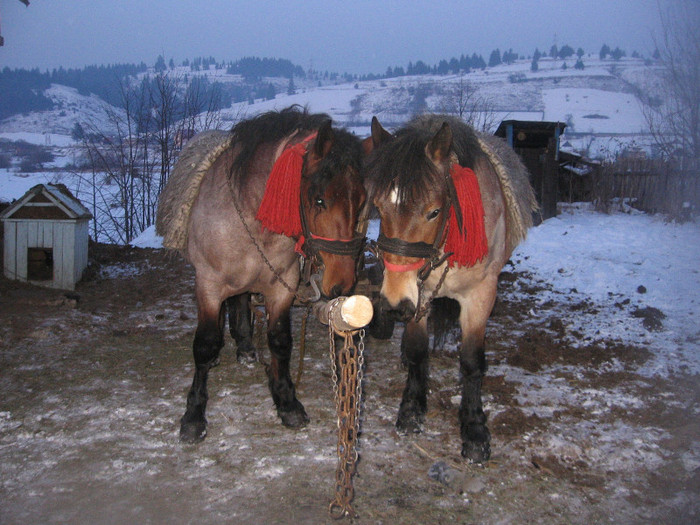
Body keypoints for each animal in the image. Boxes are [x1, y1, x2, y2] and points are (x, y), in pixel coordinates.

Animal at [156, 106, 366, 442]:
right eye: (319, 199)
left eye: (360, 202)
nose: (341, 282)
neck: (250, 216)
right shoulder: (209, 285)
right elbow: (204, 343)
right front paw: (193, 415)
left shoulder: (281, 287)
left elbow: (280, 341)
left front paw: (286, 401)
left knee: (241, 300)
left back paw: (244, 345)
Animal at [366, 113, 536, 458]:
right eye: (378, 205)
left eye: (433, 211)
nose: (394, 304)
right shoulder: (419, 296)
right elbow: (418, 351)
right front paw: (412, 409)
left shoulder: (480, 297)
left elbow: (471, 361)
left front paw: (474, 429)